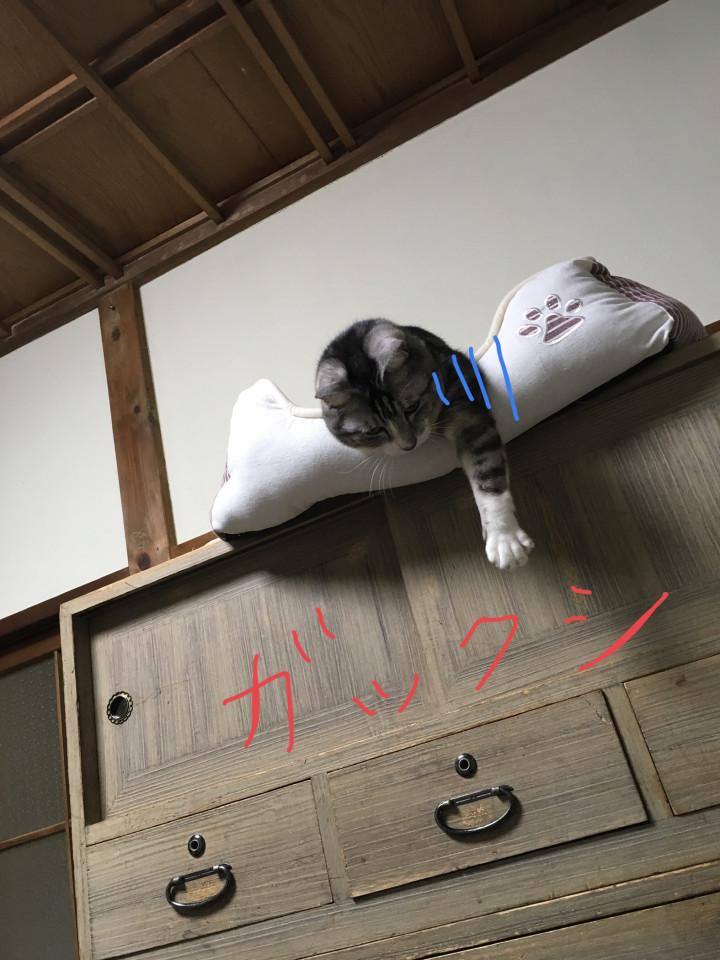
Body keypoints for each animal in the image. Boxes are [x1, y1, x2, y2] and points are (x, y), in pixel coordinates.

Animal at [315, 319, 534, 570]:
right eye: (374, 431)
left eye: (412, 407)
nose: (409, 445)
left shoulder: (465, 403)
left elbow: (487, 470)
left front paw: (504, 540)